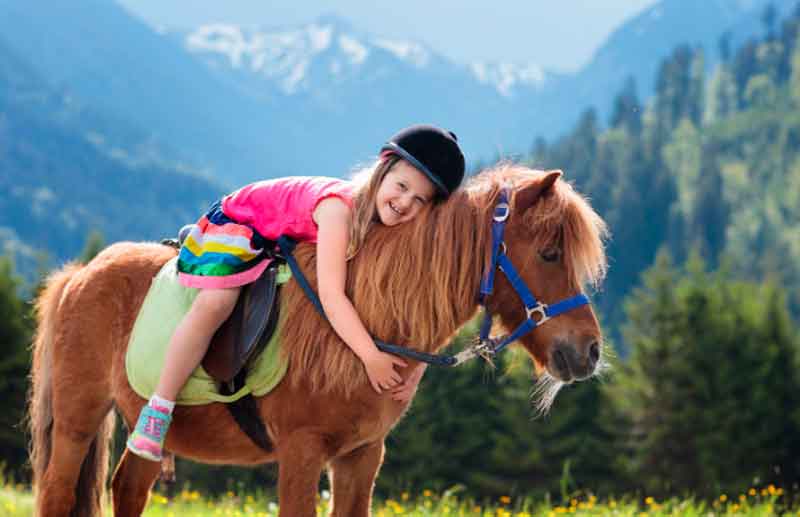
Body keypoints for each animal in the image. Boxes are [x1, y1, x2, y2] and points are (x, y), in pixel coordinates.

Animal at [29, 163, 608, 512]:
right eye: (550, 253)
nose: (589, 351)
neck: (361, 331)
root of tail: (80, 274)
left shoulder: (361, 457)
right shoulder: (302, 453)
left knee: (128, 486)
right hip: (80, 419)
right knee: (57, 490)